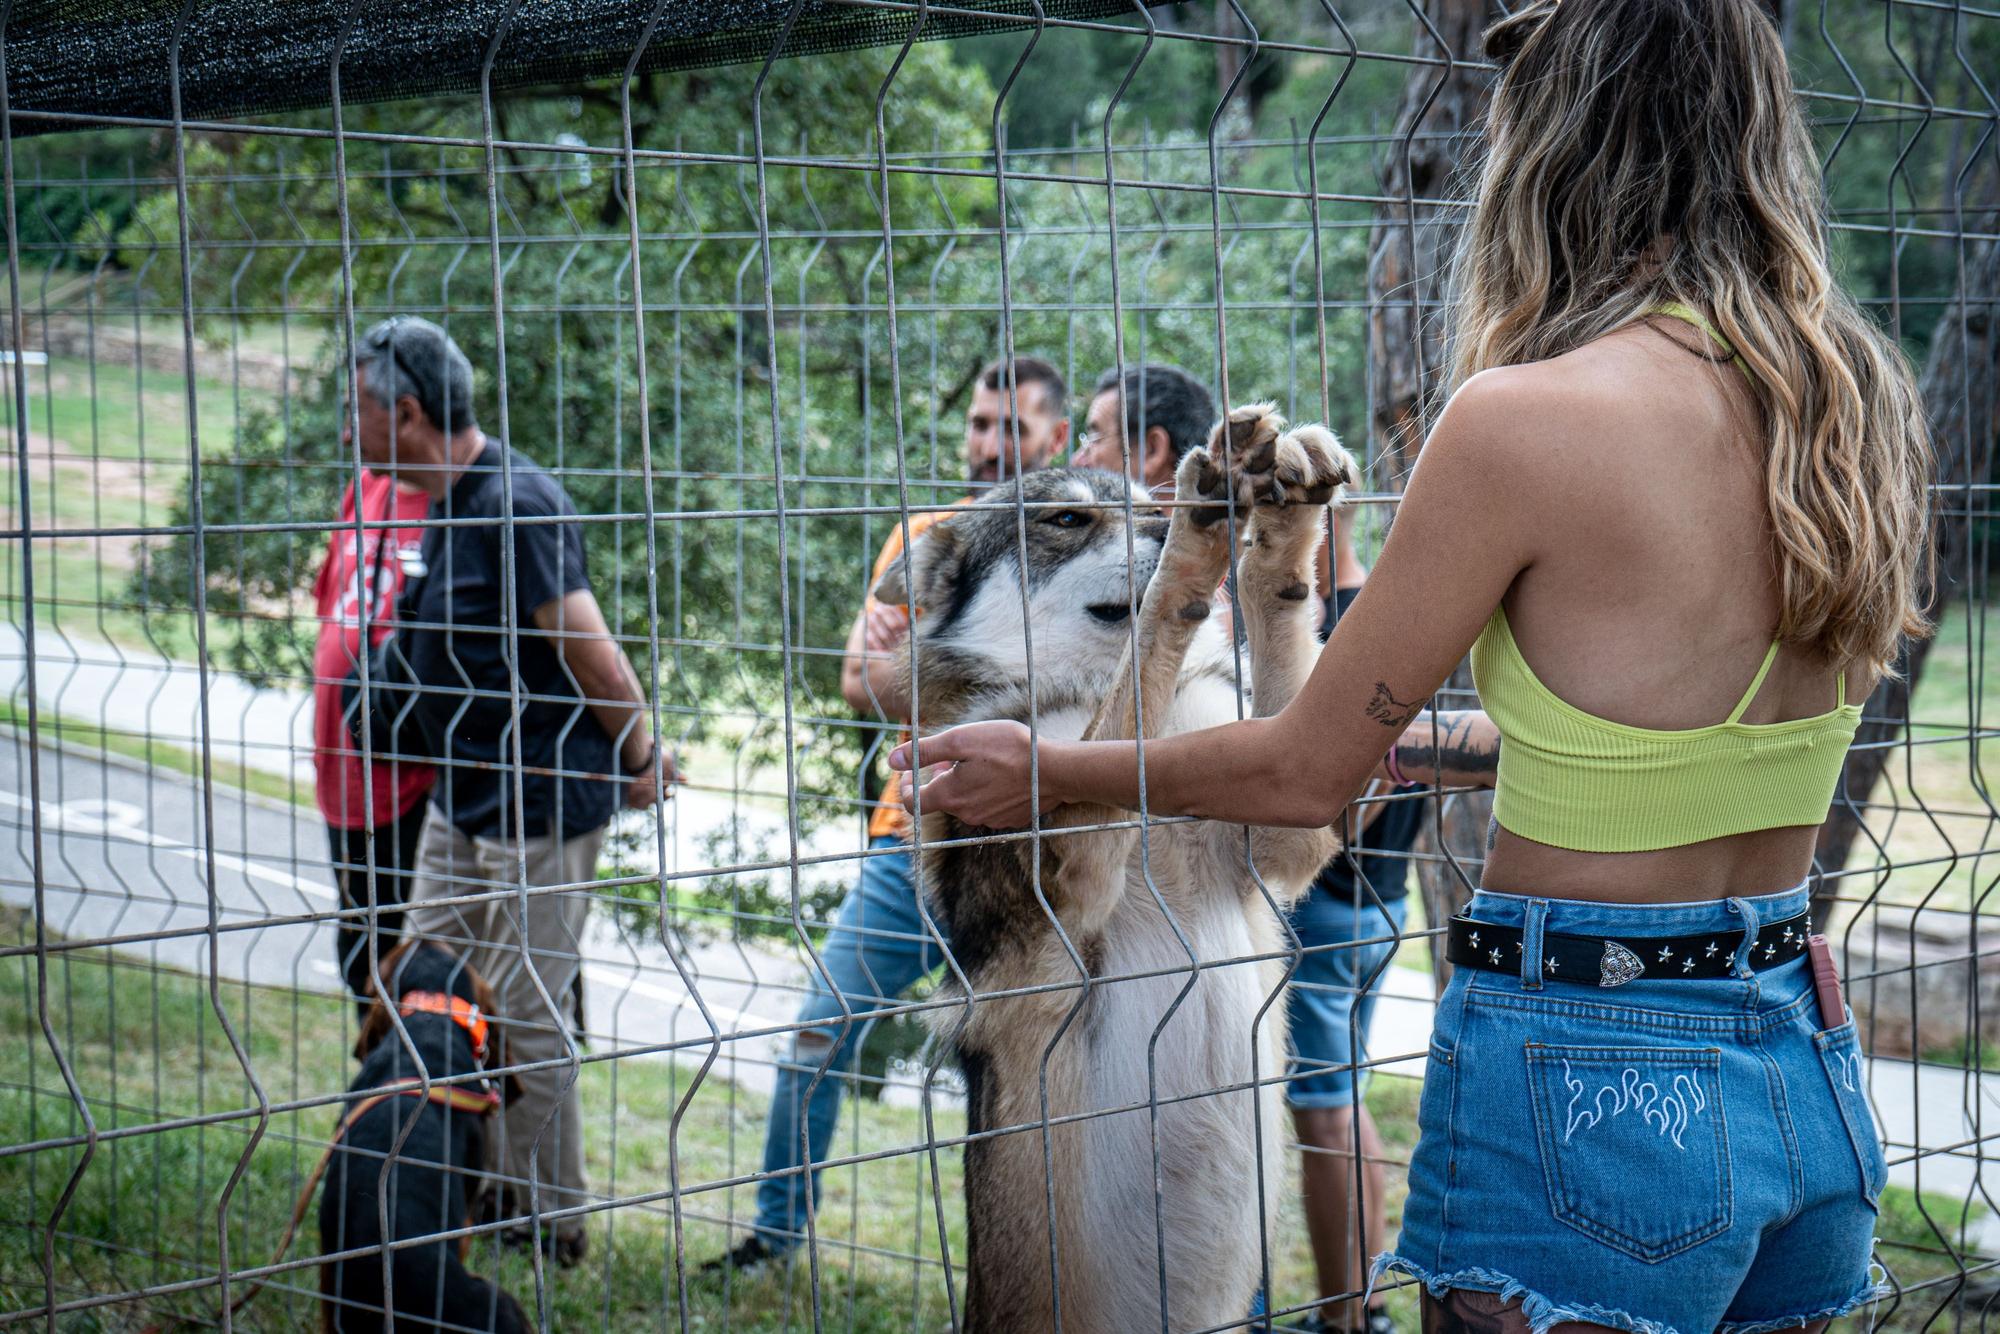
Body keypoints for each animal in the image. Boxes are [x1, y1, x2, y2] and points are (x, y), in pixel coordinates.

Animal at [880, 408, 1360, 1334]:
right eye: (1068, 519)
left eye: (1144, 500)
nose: (1165, 520)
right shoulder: (1070, 878)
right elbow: (1145, 651)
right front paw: (1193, 548)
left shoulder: (1286, 835)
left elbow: (1273, 639)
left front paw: (1282, 532)